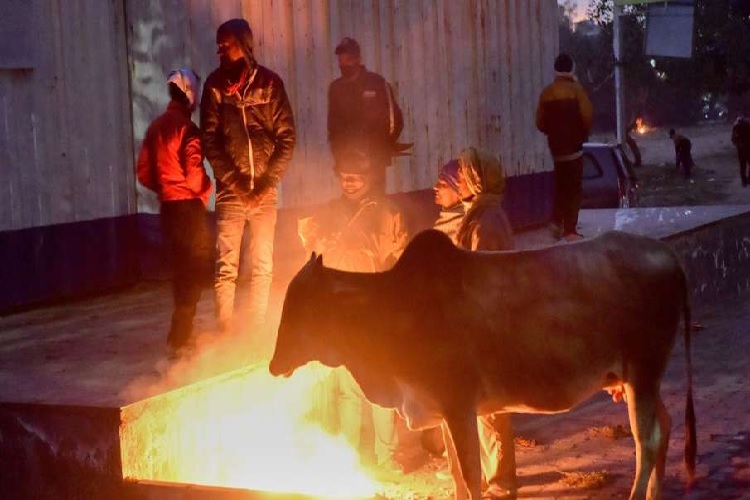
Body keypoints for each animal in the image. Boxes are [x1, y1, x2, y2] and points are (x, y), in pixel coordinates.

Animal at [270, 229, 700, 498]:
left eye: (299, 308)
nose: (273, 365)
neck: (393, 309)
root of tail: (670, 255)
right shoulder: (443, 411)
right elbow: (457, 476)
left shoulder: (459, 407)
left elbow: (471, 475)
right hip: (639, 379)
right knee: (665, 425)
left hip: (643, 373)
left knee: (647, 441)